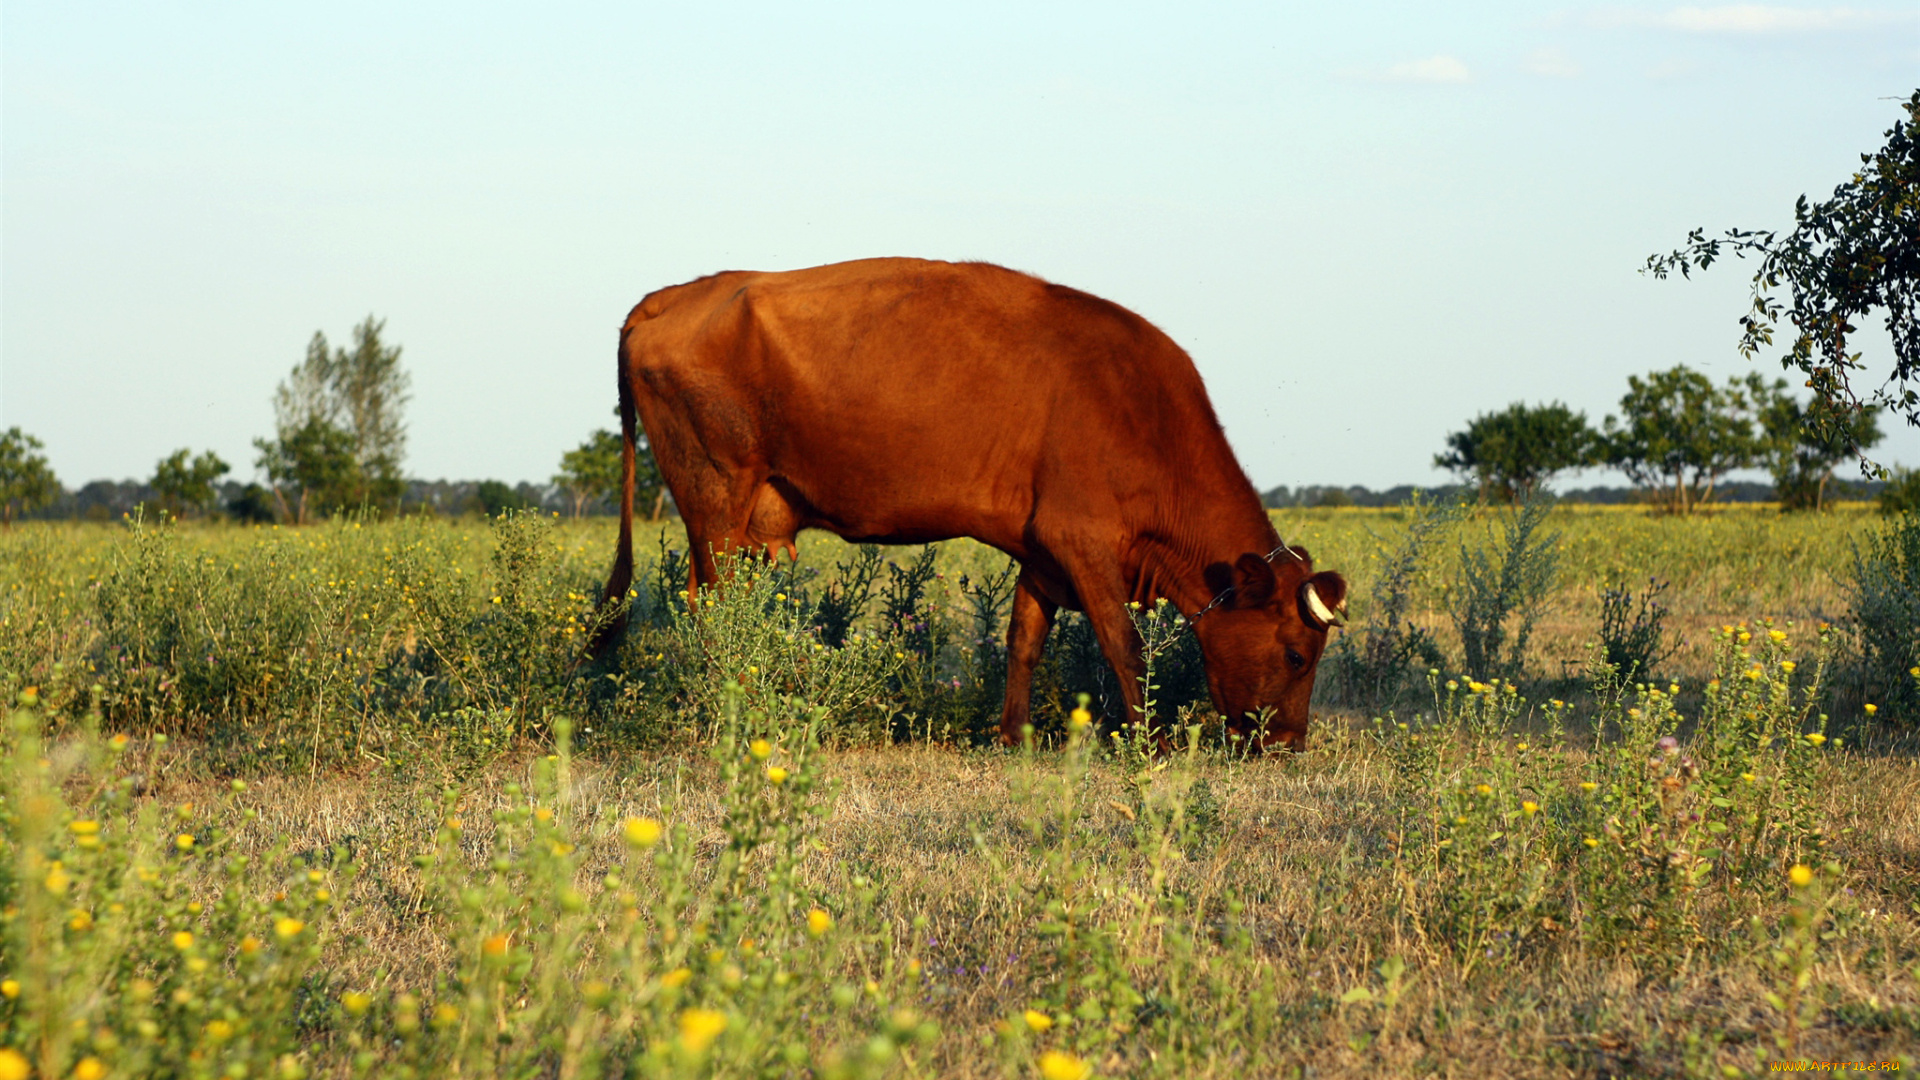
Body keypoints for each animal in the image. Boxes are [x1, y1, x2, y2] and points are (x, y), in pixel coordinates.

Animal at [591, 259, 1344, 749]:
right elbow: (1124, 645)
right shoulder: (1084, 542)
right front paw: (1150, 742)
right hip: (716, 502)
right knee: (716, 615)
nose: (1290, 744)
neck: (1143, 412)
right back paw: (738, 714)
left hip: (728, 525)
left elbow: (1023, 642)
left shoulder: (1043, 552)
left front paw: (1013, 736)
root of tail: (671, 295)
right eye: (1298, 655)